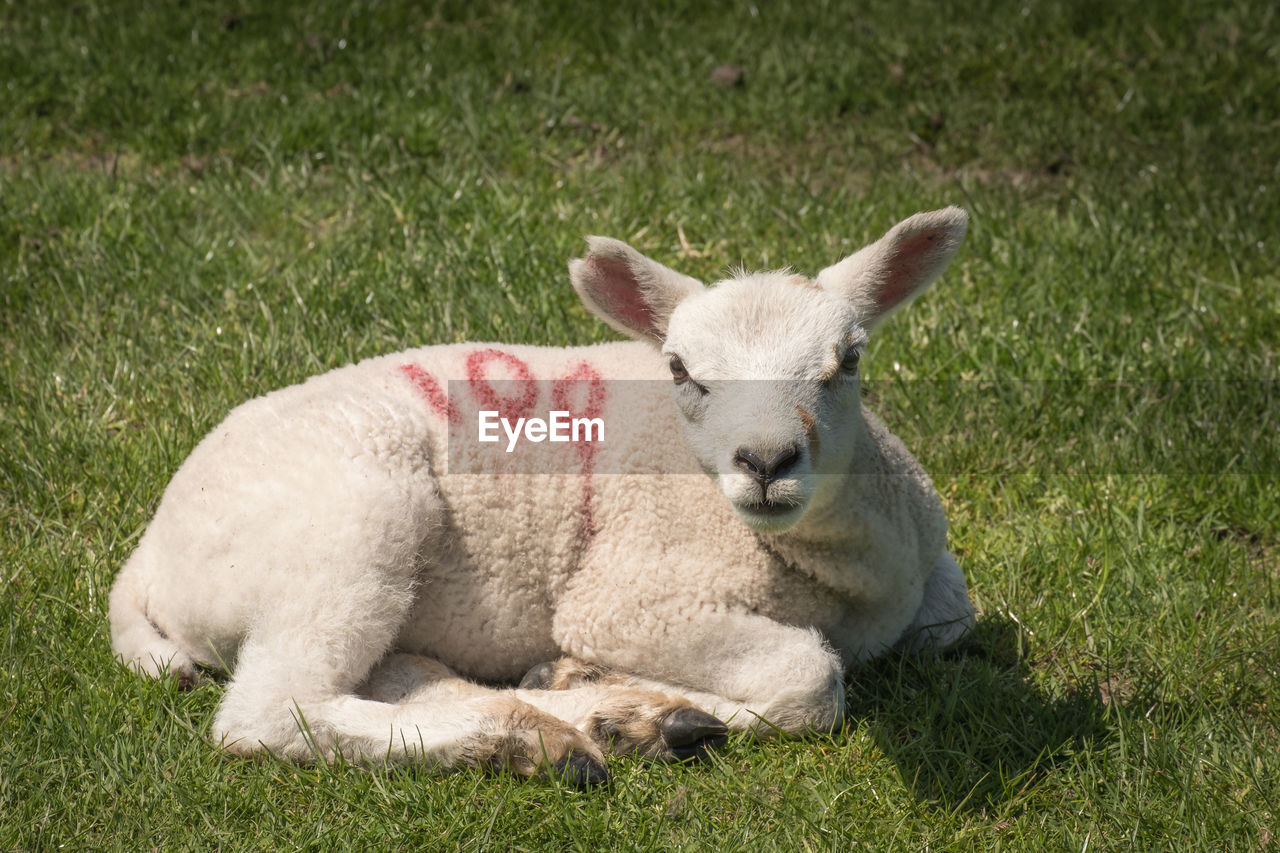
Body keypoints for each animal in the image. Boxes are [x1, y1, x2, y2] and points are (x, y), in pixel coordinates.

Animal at [110, 206, 972, 783]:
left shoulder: (936, 588)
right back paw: (555, 730)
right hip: (351, 518)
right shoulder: (634, 597)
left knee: (393, 667)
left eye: (849, 360)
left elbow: (950, 623)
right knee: (270, 711)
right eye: (682, 370)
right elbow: (809, 678)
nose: (766, 459)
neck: (849, 572)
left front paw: (595, 690)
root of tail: (146, 559)